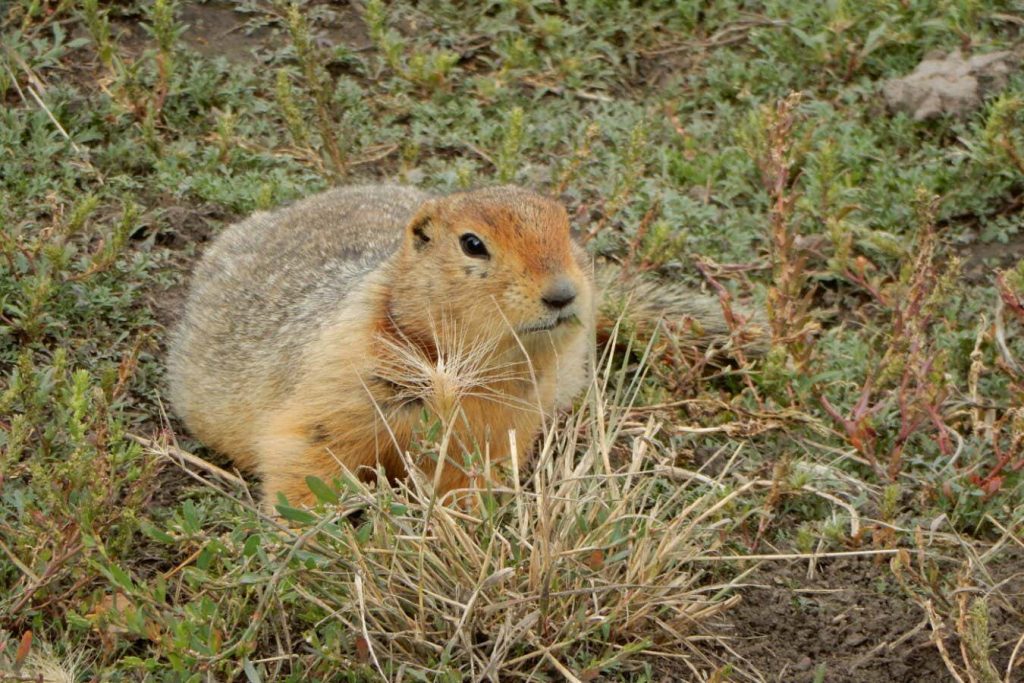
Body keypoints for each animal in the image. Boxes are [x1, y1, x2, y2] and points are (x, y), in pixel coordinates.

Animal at [167, 185, 762, 507]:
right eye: (472, 243)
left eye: (566, 228)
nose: (564, 293)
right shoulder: (341, 377)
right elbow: (308, 451)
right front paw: (310, 533)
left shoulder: (502, 422)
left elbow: (470, 475)